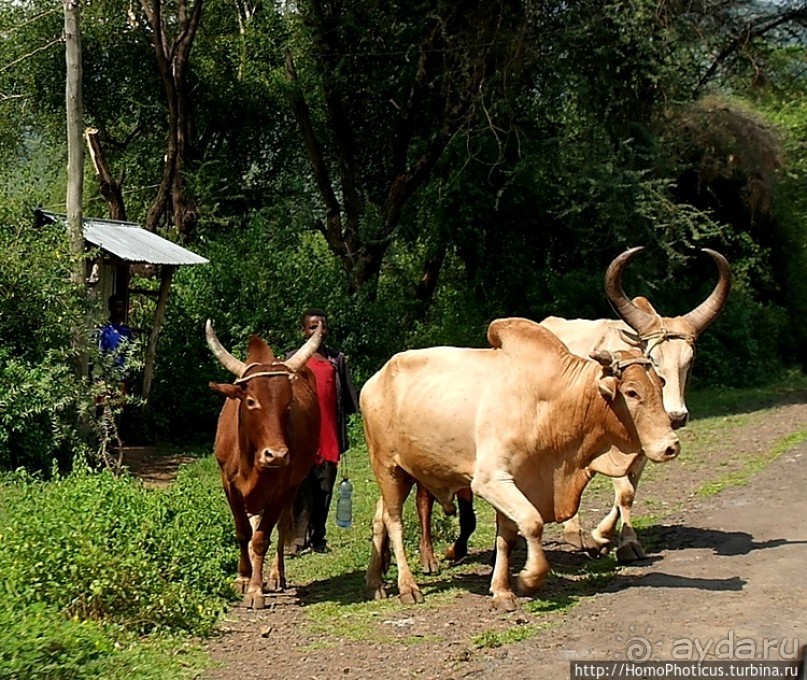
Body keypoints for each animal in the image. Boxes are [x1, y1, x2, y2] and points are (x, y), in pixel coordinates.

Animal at [205, 322, 322, 608]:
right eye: (251, 401)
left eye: (288, 404)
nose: (276, 455)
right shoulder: (229, 486)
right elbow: (243, 531)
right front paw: (242, 578)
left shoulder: (280, 490)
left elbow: (261, 538)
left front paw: (256, 590)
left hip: (293, 486)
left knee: (281, 527)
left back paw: (276, 576)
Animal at [362, 318, 680, 612]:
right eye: (632, 392)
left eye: (659, 384)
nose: (671, 446)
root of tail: (375, 380)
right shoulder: (491, 481)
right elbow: (532, 523)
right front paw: (529, 579)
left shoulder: (519, 483)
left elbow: (507, 537)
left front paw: (502, 591)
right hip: (387, 467)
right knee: (394, 521)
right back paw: (408, 586)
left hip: (402, 473)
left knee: (379, 517)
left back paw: (375, 581)